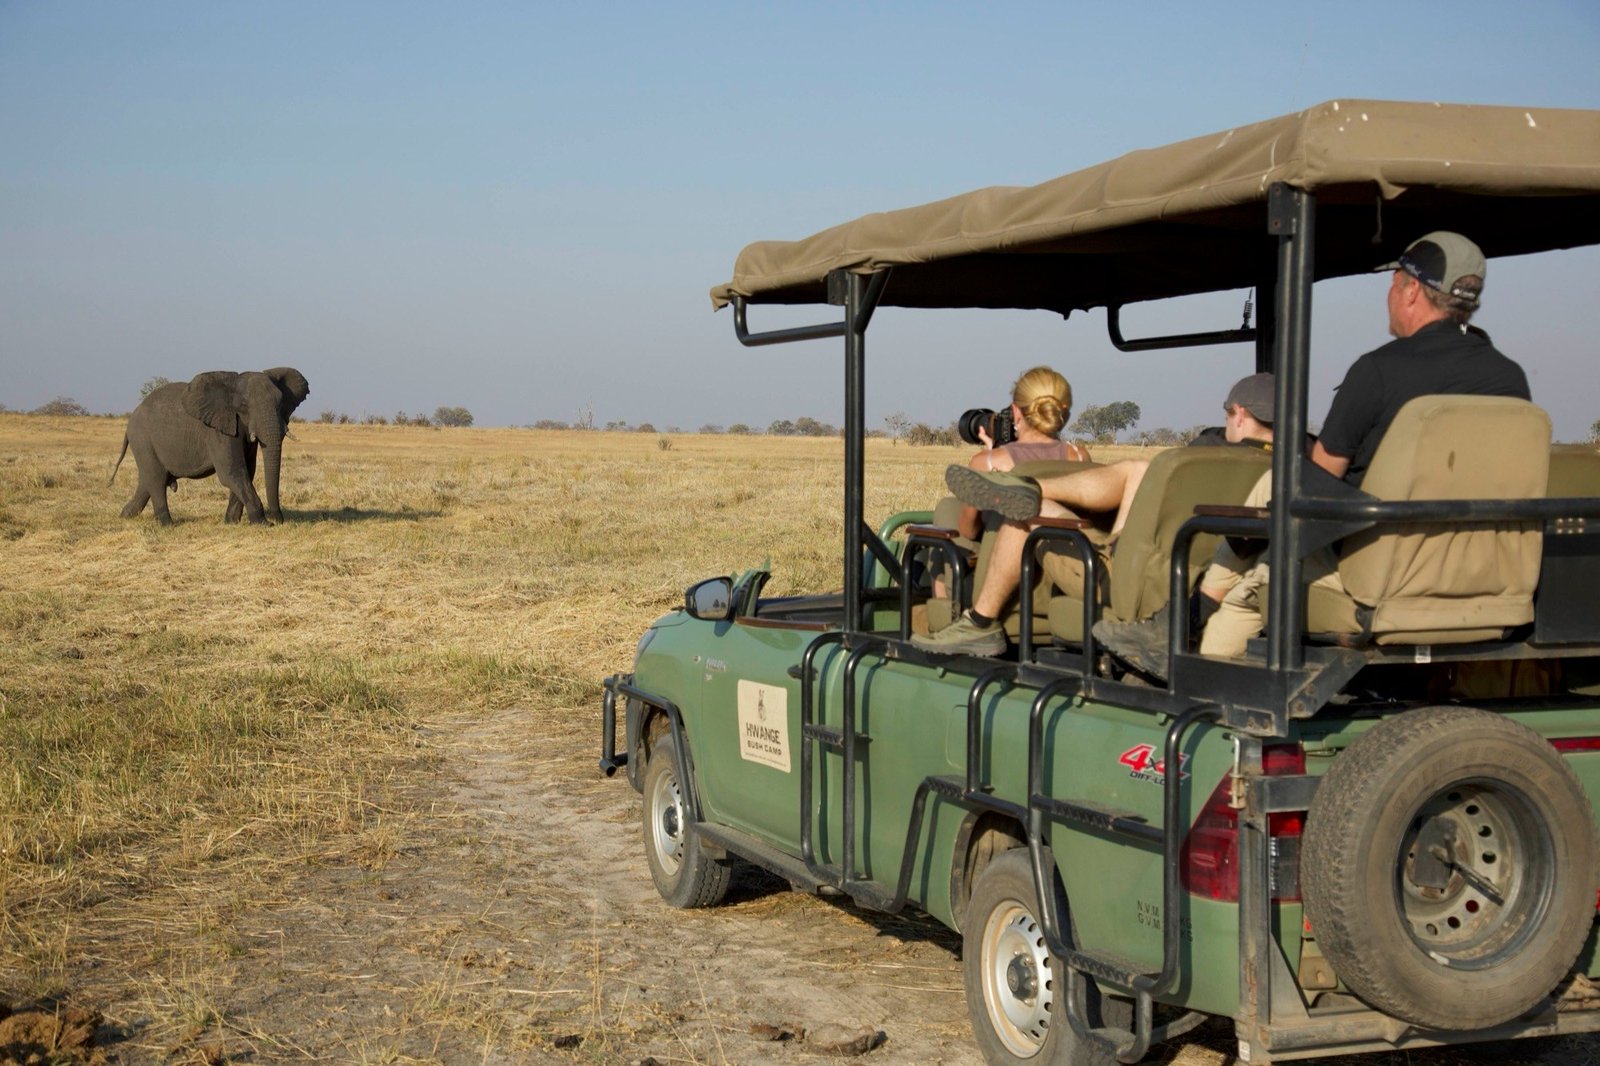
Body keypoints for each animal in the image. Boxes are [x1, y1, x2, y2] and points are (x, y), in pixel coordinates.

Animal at [111, 367, 310, 525]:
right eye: (244, 405)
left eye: (281, 402)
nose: (279, 520)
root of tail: (129, 422)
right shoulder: (218, 432)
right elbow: (232, 472)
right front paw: (262, 523)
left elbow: (247, 470)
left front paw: (231, 522)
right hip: (143, 441)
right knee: (156, 480)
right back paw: (168, 524)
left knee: (147, 482)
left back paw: (124, 516)